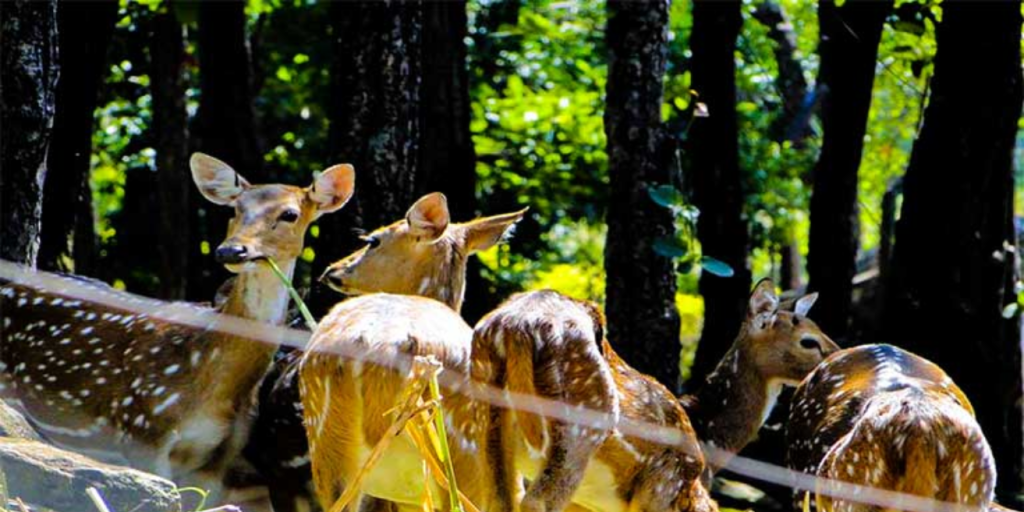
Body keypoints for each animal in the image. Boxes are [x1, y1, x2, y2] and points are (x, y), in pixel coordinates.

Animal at [475, 280, 835, 512]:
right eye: (808, 341)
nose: (838, 354)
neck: (708, 439)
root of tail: (516, 327)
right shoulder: (669, 482)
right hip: (580, 427)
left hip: (485, 425)